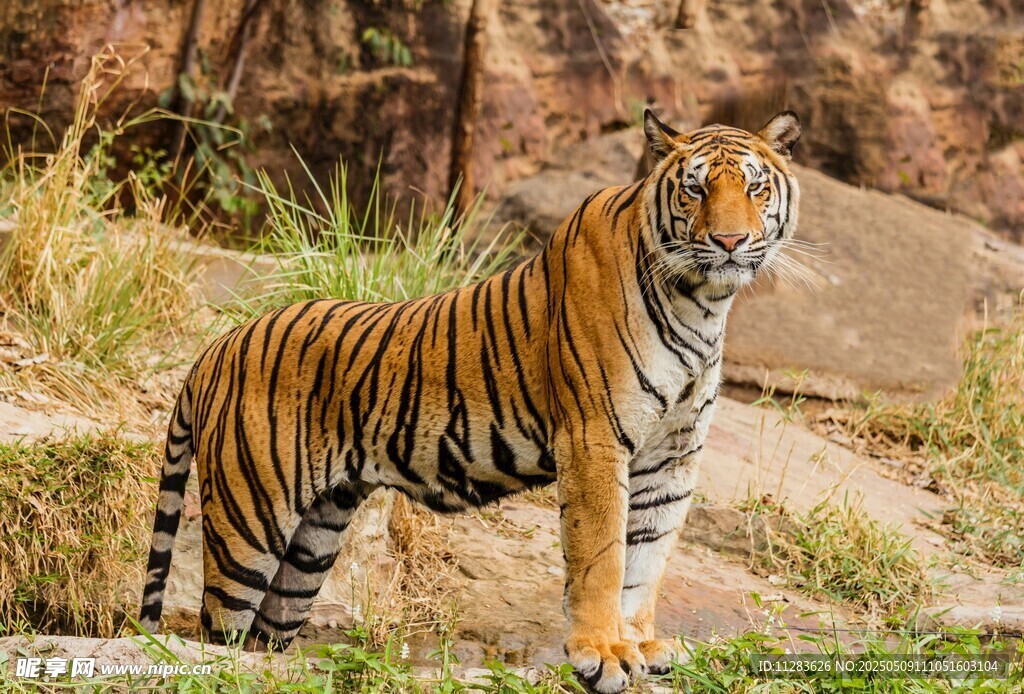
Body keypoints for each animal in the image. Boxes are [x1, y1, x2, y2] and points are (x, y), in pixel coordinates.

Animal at [139, 109, 801, 693]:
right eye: (694, 189)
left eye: (755, 186)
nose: (730, 240)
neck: (703, 303)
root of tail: (216, 346)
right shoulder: (595, 439)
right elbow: (604, 557)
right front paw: (603, 654)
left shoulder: (673, 455)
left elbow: (647, 559)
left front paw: (638, 644)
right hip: (248, 522)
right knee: (216, 634)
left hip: (312, 542)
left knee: (263, 638)